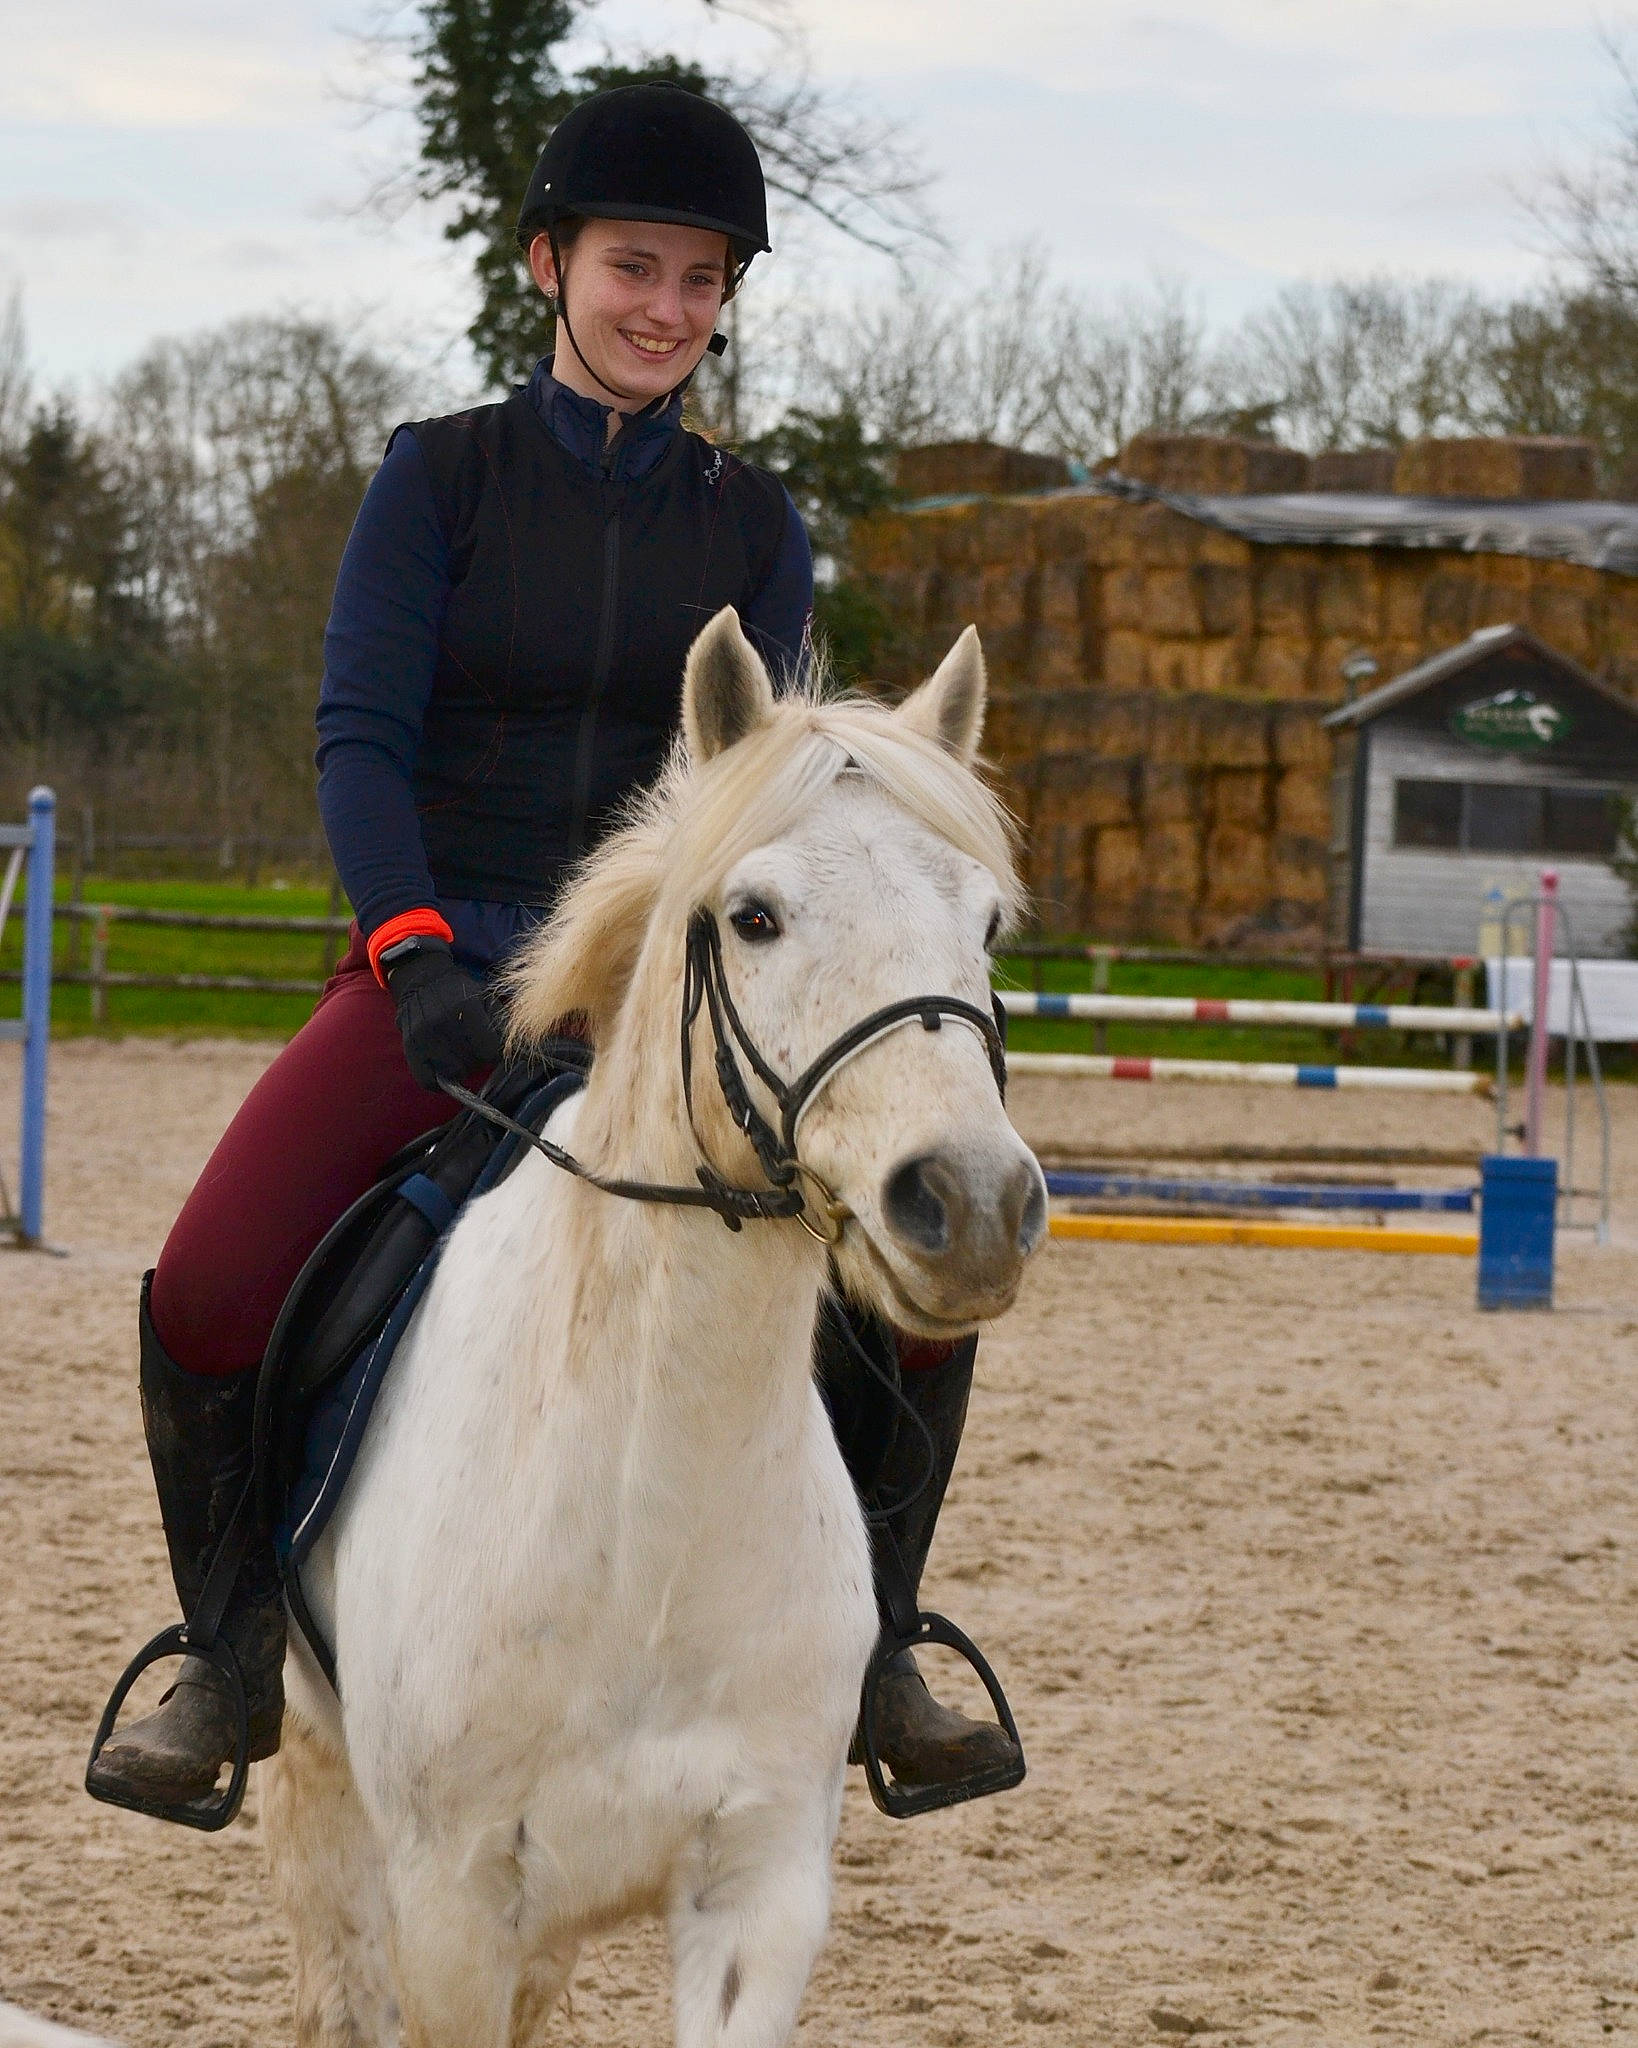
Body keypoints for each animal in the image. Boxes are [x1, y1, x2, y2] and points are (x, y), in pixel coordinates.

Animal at [261, 607, 1048, 2048]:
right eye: (753, 918)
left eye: (985, 922)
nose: (969, 1205)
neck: (651, 1502)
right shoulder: (453, 1906)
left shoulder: (757, 1884)